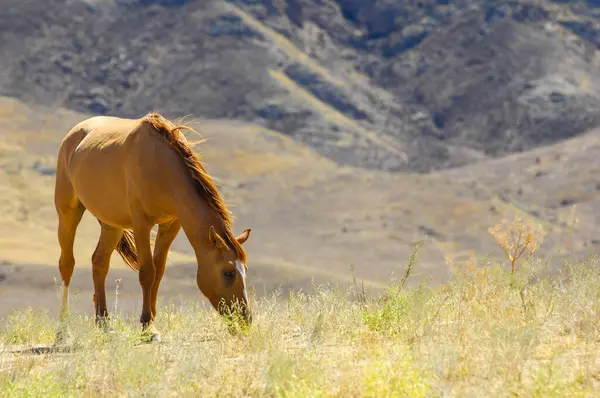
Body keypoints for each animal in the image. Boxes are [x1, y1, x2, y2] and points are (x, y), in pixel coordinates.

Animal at [54, 110, 253, 340]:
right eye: (228, 273)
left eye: (245, 270)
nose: (245, 319)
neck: (161, 166)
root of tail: (74, 133)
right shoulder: (141, 224)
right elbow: (147, 272)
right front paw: (146, 326)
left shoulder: (171, 225)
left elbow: (159, 271)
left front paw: (152, 324)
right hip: (68, 212)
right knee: (67, 264)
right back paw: (62, 330)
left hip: (112, 224)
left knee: (99, 262)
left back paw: (104, 323)